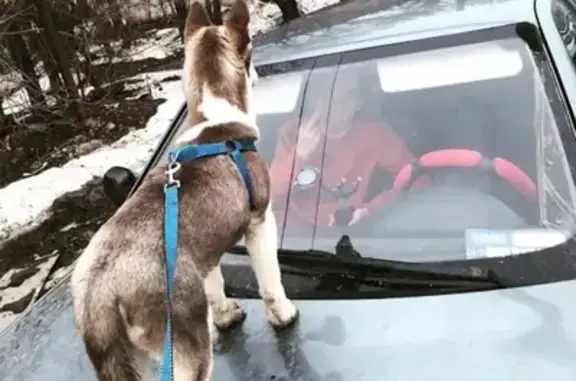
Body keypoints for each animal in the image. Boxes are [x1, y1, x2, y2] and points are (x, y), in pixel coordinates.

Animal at [68, 1, 296, 378]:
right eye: (250, 58)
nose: (258, 75)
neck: (213, 119)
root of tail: (99, 296)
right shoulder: (260, 221)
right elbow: (270, 280)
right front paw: (284, 315)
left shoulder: (205, 251)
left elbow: (215, 286)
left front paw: (226, 316)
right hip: (184, 349)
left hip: (129, 358)